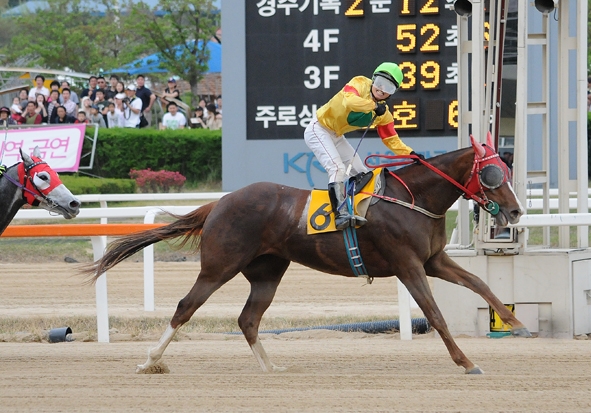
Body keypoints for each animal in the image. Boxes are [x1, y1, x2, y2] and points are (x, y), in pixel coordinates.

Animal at [83, 134, 531, 375]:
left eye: (507, 170)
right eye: (492, 174)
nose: (515, 212)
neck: (412, 199)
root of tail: (220, 202)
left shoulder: (434, 261)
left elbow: (481, 283)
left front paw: (517, 323)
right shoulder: (408, 266)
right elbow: (435, 315)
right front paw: (467, 362)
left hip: (267, 272)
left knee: (248, 319)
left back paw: (270, 367)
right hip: (219, 265)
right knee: (185, 307)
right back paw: (150, 361)